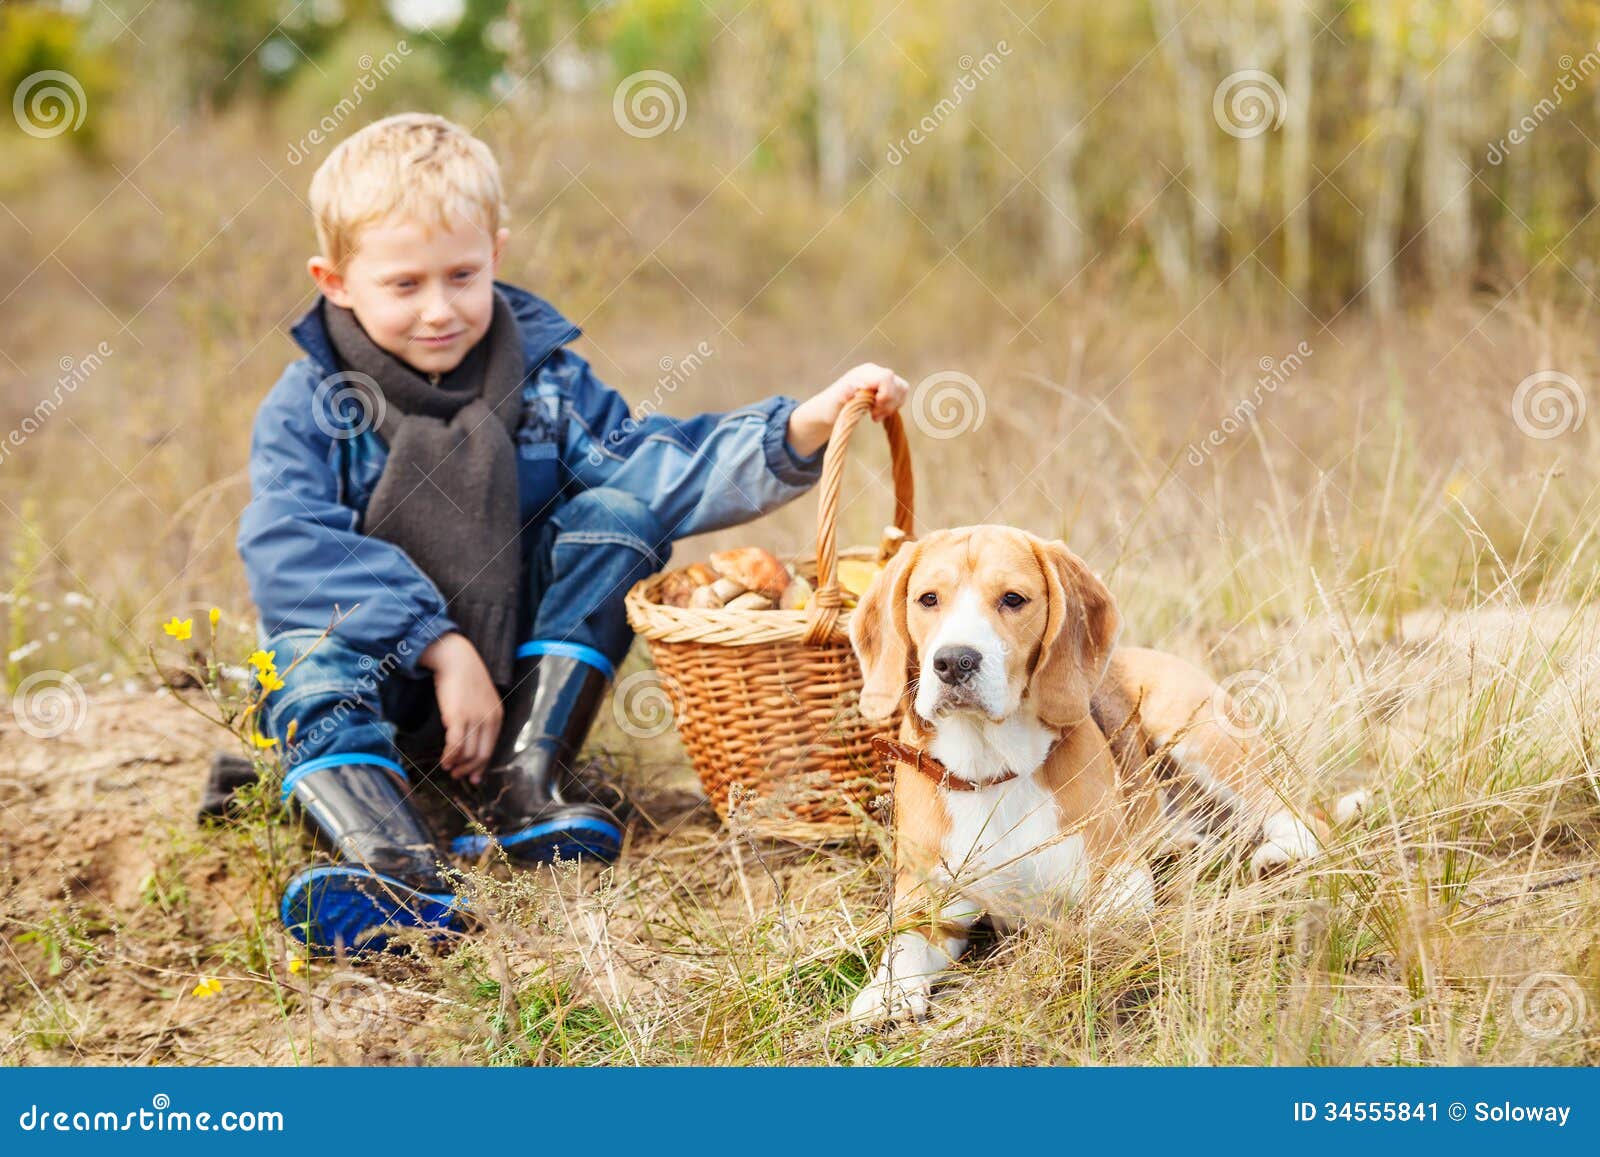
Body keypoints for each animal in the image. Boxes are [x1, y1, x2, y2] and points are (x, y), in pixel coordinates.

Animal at [851, 524, 1324, 1024]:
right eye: (928, 599)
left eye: (1013, 599)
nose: (953, 661)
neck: (993, 771)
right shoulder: (929, 902)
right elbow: (904, 946)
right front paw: (886, 991)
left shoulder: (1121, 879)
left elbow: (1092, 924)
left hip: (1201, 736)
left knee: (1301, 812)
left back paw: (1283, 855)